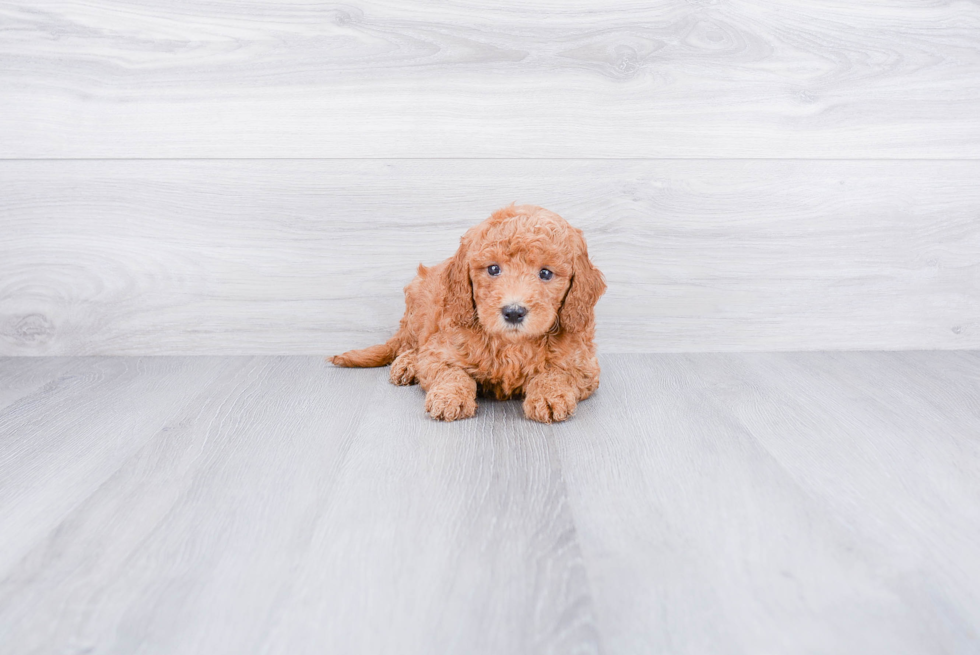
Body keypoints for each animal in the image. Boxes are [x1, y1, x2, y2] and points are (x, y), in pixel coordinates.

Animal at [332, 205, 604, 426]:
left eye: (545, 273)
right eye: (493, 269)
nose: (514, 312)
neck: (511, 343)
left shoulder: (584, 365)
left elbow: (556, 373)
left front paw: (548, 396)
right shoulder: (441, 351)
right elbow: (452, 372)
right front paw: (449, 397)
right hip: (418, 307)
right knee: (409, 344)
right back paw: (408, 363)